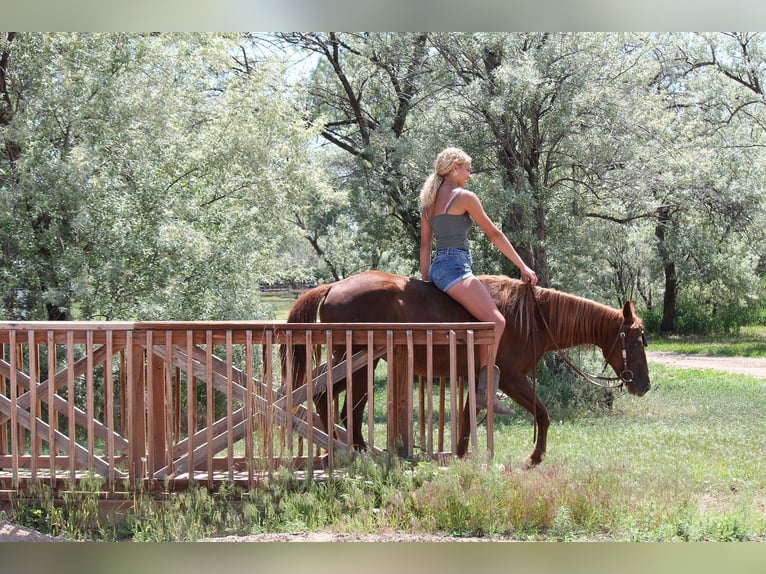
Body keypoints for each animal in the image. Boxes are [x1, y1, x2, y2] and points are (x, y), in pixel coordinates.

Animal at [280, 270, 650, 467]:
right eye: (635, 341)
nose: (643, 385)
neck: (532, 319)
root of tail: (334, 285)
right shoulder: (512, 378)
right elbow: (542, 414)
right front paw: (535, 457)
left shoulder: (477, 376)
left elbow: (467, 417)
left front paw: (459, 455)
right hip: (359, 362)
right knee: (343, 406)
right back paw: (353, 452)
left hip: (356, 362)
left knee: (330, 399)